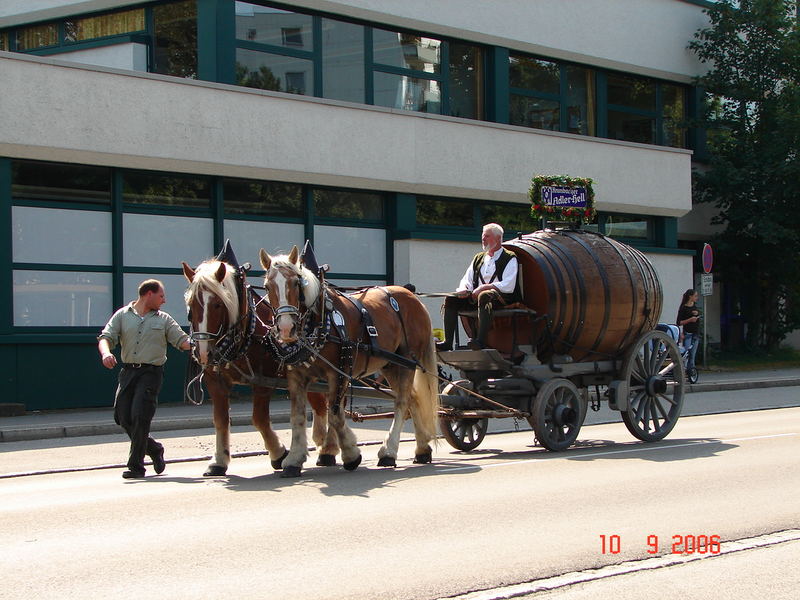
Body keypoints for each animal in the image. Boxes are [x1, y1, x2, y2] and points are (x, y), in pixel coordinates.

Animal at [181, 246, 332, 476]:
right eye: (191, 305)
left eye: (217, 304)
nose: (204, 352)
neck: (245, 333)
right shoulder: (215, 382)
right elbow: (220, 419)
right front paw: (219, 461)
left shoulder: (264, 380)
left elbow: (259, 418)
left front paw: (279, 454)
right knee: (320, 404)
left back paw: (326, 449)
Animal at [260, 244, 438, 478]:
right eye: (267, 286)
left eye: (296, 283)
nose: (286, 328)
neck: (320, 322)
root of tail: (413, 297)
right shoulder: (296, 377)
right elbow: (297, 417)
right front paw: (294, 460)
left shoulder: (338, 373)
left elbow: (335, 416)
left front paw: (351, 455)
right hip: (390, 364)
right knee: (413, 399)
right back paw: (422, 449)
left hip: (406, 361)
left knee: (402, 402)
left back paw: (389, 451)